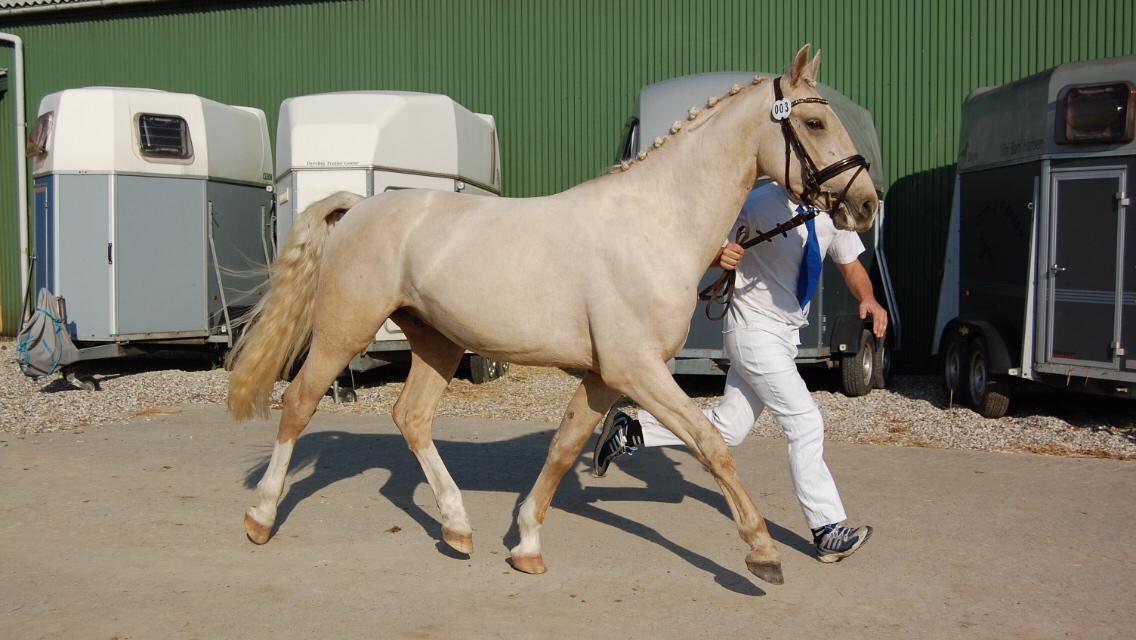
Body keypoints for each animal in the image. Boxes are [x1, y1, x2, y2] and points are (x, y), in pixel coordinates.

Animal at [228, 45, 876, 586]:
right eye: (814, 123)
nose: (865, 204)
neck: (654, 223)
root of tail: (358, 207)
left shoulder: (602, 376)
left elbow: (564, 450)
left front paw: (527, 544)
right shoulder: (637, 370)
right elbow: (710, 444)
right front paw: (762, 552)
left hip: (437, 342)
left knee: (410, 418)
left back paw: (457, 528)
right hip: (343, 332)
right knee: (300, 403)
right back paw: (260, 517)